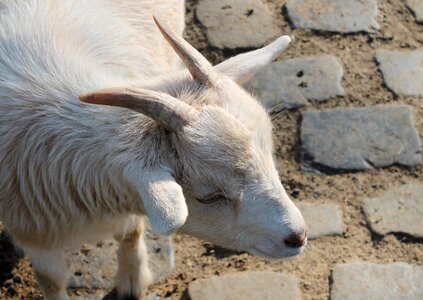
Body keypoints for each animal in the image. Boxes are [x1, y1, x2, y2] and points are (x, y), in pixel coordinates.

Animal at [0, 0, 308, 300]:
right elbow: (51, 280)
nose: (299, 236)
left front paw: (133, 280)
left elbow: (131, 232)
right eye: (209, 196)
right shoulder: (31, 230)